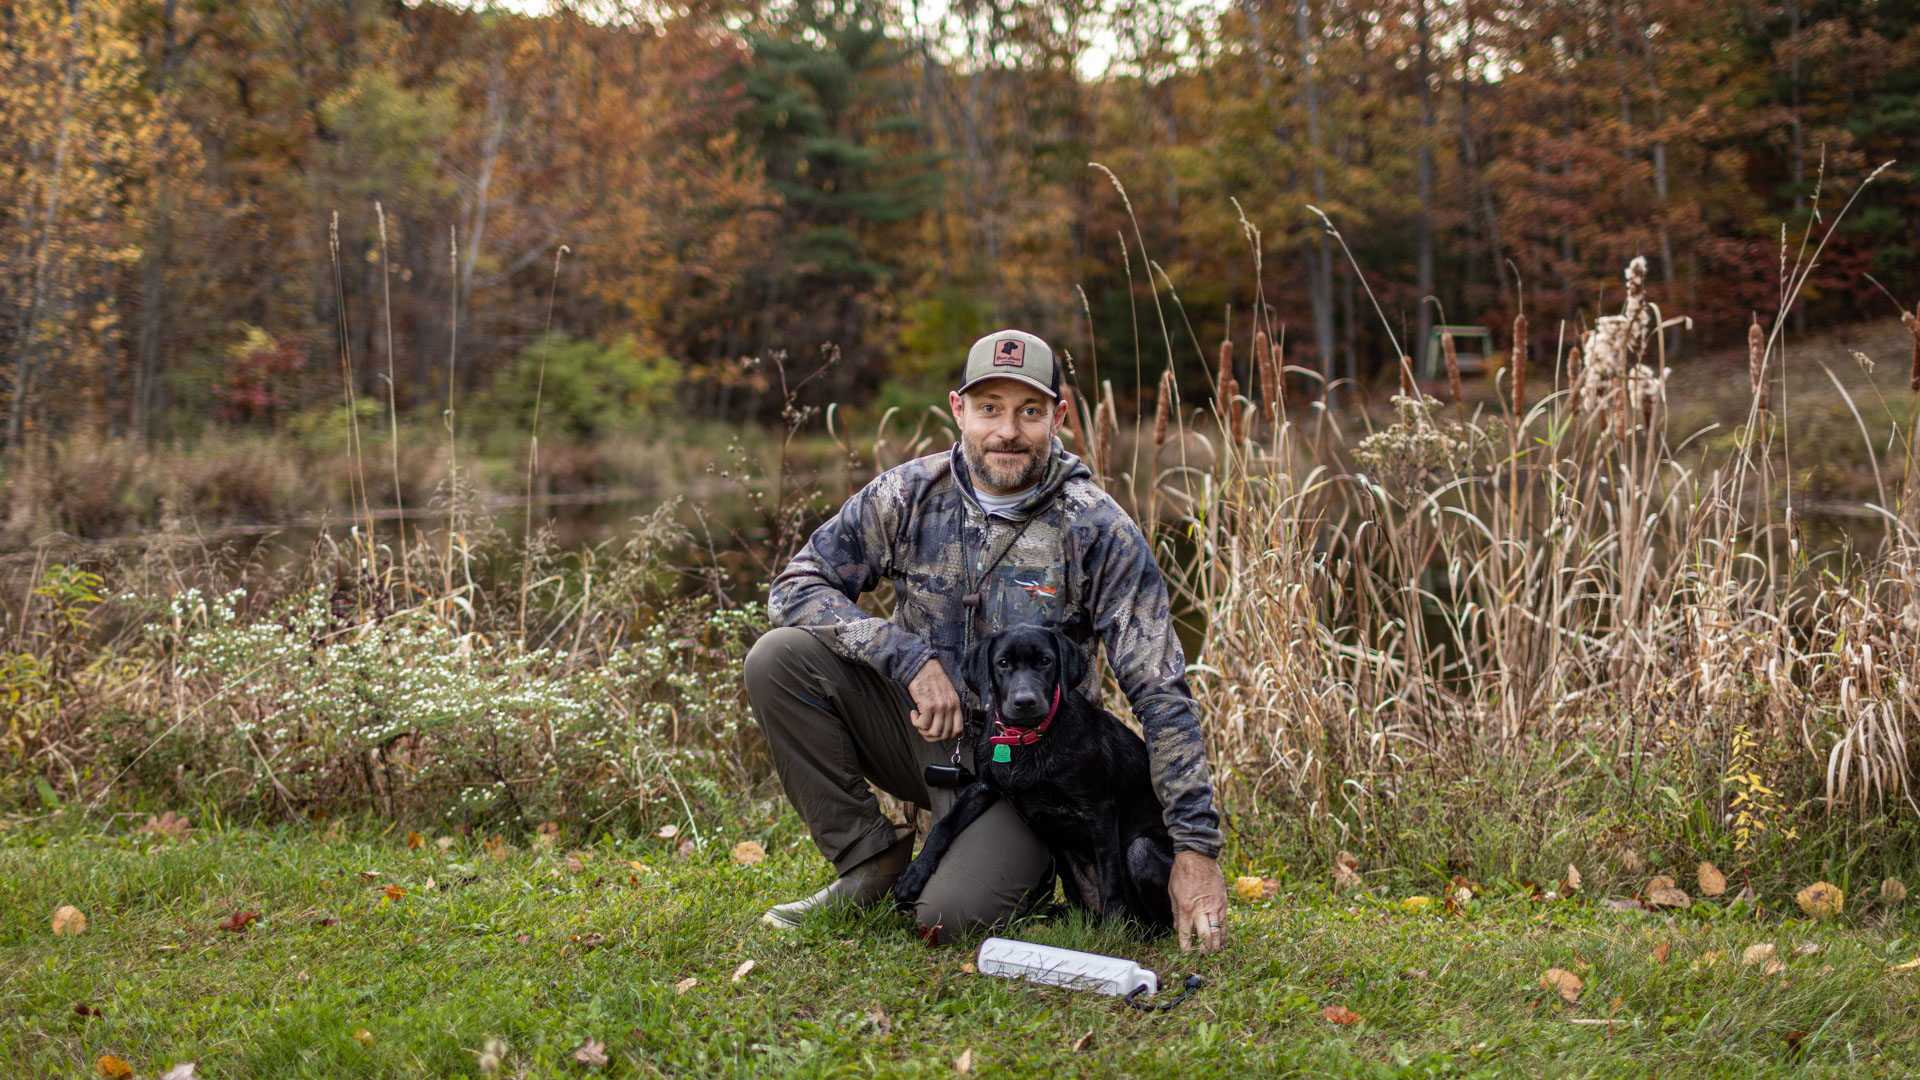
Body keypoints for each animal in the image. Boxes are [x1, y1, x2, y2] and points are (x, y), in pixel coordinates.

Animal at [890, 622, 1175, 926]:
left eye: (1046, 661)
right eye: (1002, 663)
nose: (1024, 701)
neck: (1024, 739)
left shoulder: (1101, 811)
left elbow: (1111, 878)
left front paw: (1113, 930)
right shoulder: (981, 786)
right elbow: (944, 825)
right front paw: (915, 872)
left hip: (1141, 852)